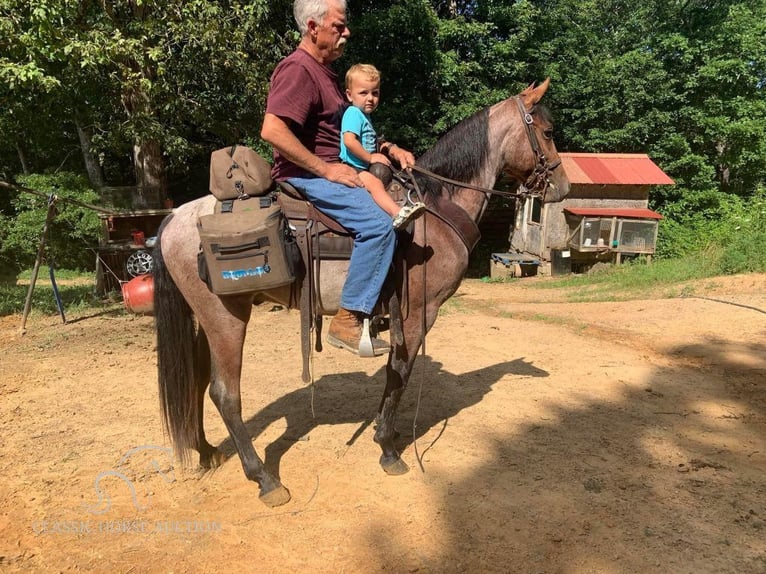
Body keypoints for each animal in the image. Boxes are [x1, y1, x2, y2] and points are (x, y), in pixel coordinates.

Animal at [153, 77, 568, 508]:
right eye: (547, 132)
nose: (563, 187)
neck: (436, 208)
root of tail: (174, 218)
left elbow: (394, 373)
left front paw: (389, 433)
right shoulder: (420, 312)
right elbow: (399, 372)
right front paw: (387, 446)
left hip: (206, 319)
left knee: (197, 380)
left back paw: (206, 451)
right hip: (226, 318)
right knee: (224, 393)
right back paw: (264, 479)